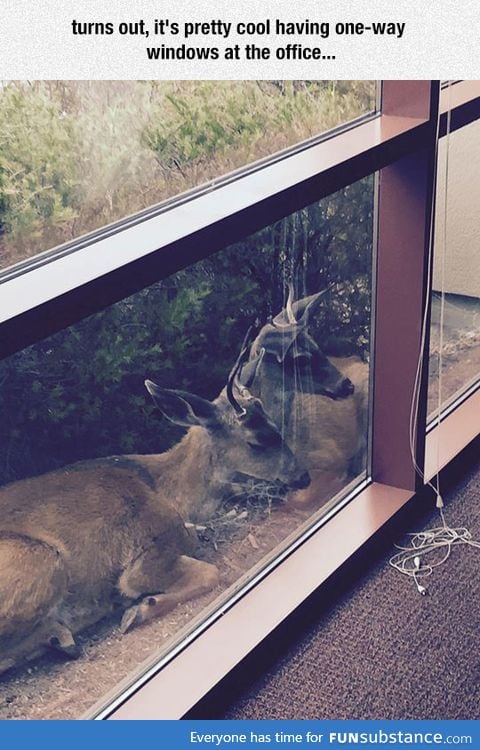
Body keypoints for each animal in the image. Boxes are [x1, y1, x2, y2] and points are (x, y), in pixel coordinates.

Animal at [0, 344, 308, 680]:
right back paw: (63, 635)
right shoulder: (147, 552)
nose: (303, 476)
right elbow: (208, 573)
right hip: (40, 558)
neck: (171, 495)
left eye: (276, 426)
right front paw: (139, 609)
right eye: (257, 441)